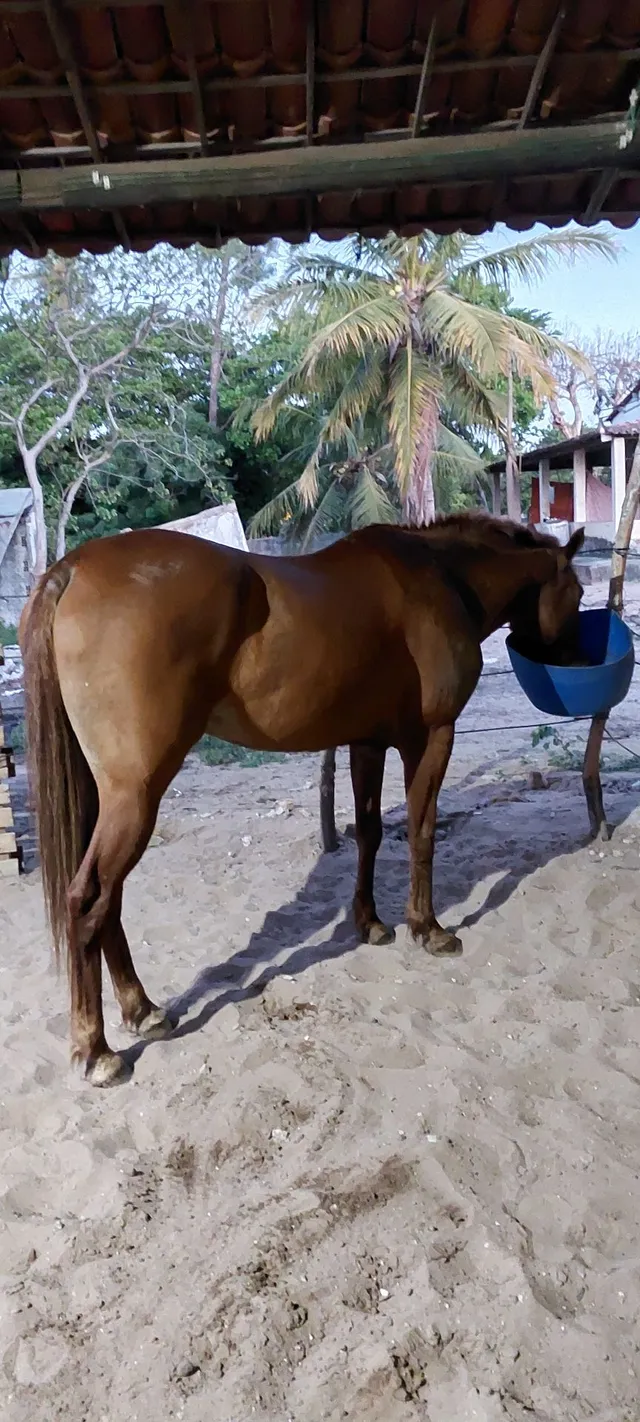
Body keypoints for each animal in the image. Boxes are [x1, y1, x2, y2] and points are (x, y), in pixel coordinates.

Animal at [20, 513, 584, 1086]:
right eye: (579, 591)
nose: (578, 658)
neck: (439, 575)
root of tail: (73, 568)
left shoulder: (368, 741)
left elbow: (370, 833)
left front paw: (371, 923)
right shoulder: (431, 736)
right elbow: (421, 830)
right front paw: (428, 928)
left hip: (108, 795)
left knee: (106, 901)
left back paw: (143, 1011)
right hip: (135, 794)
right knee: (88, 898)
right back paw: (98, 1051)